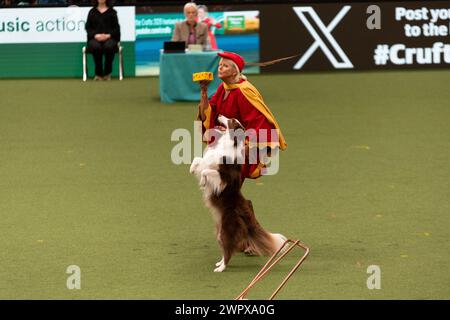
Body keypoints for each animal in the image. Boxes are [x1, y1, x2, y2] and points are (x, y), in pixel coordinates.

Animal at [189, 115, 286, 272]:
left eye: (231, 121)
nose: (219, 115)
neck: (227, 143)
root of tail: (247, 211)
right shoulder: (207, 162)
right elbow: (198, 160)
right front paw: (192, 169)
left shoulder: (224, 176)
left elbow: (206, 171)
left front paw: (203, 182)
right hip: (220, 232)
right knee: (226, 250)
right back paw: (219, 263)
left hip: (227, 229)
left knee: (229, 251)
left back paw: (221, 268)